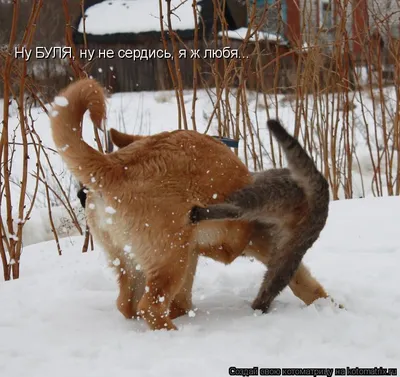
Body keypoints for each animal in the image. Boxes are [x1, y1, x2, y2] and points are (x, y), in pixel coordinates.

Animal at [191, 119, 332, 312]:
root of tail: (320, 197)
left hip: (262, 195)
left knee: (236, 209)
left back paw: (200, 213)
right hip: (288, 253)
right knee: (277, 285)